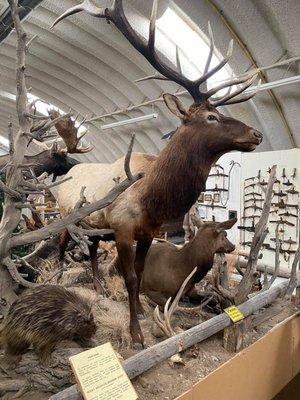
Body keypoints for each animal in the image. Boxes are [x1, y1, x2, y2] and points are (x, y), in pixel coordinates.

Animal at [54, 0, 262, 346]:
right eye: (211, 116)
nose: (256, 133)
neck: (151, 198)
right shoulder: (123, 229)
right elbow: (130, 276)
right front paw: (136, 334)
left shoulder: (148, 233)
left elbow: (139, 274)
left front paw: (139, 313)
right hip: (64, 217)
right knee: (59, 248)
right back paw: (54, 280)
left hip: (92, 227)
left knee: (93, 252)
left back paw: (98, 287)